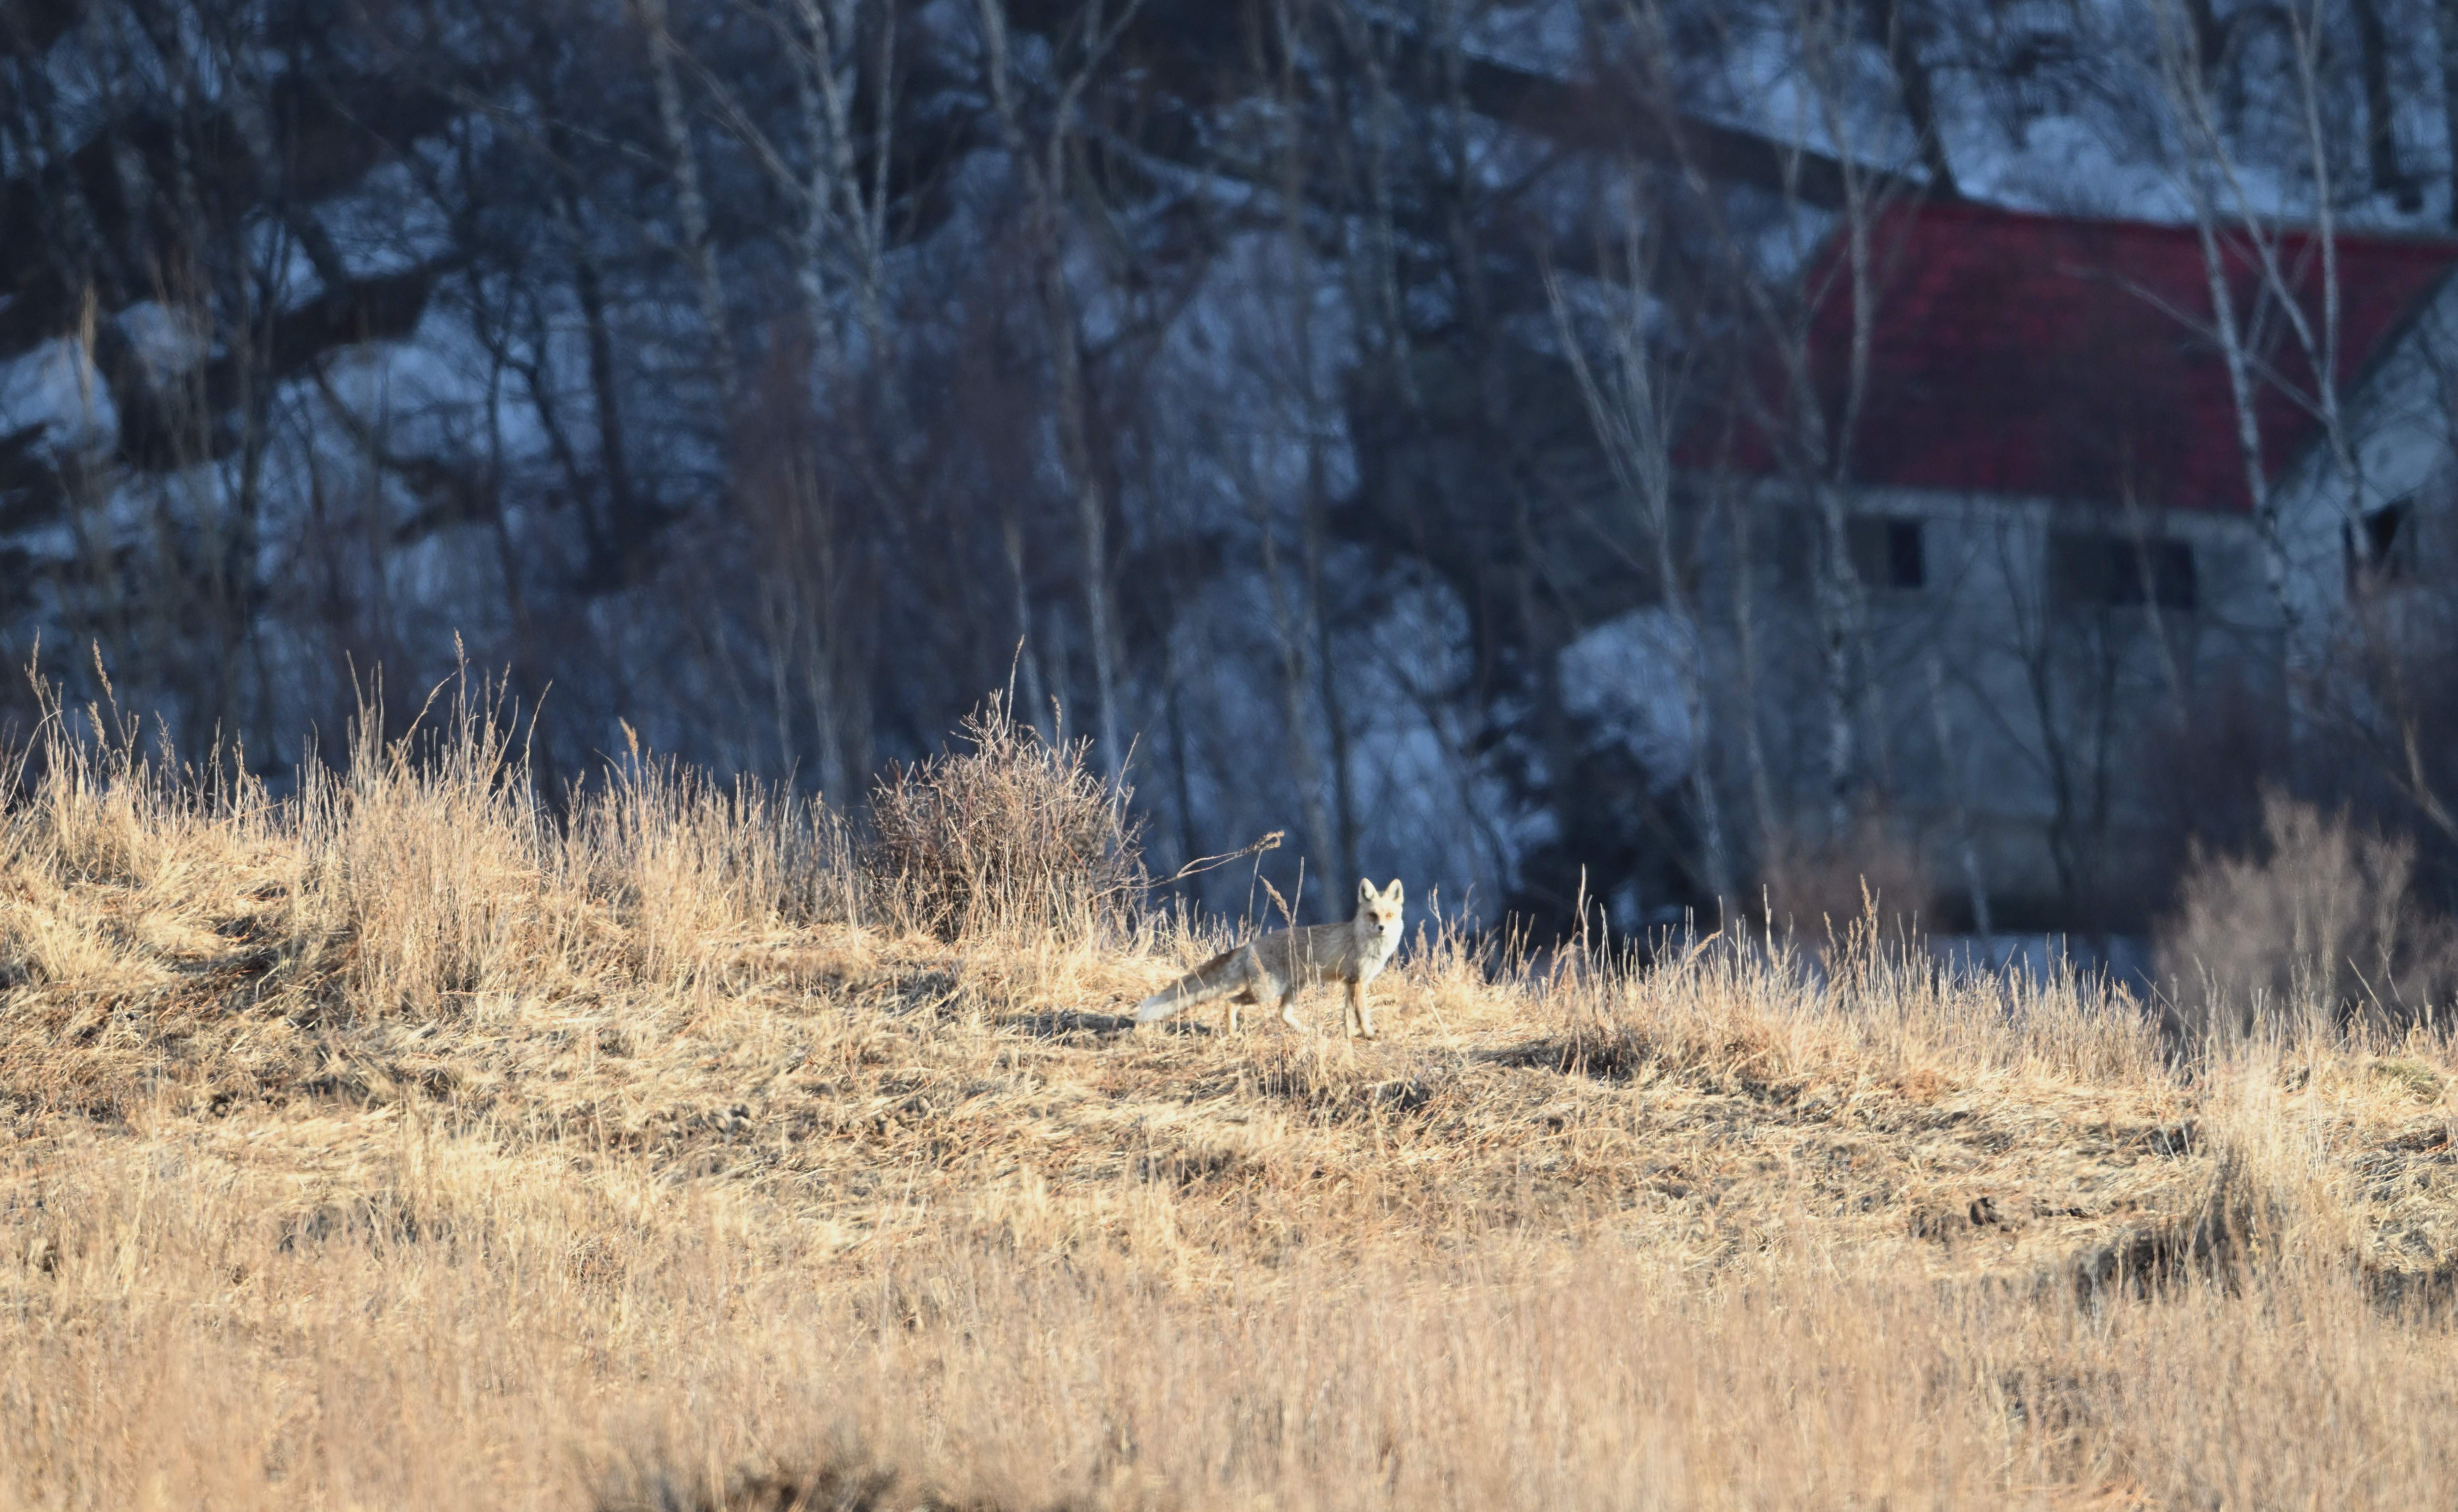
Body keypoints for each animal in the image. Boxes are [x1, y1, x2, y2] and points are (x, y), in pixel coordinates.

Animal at [1135, 878, 1406, 1038]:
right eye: (1373, 915)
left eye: (1389, 915)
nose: (1382, 928)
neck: (1367, 943)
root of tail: (1249, 946)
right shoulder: (1357, 982)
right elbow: (1362, 1015)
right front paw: (1371, 1035)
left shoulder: (1351, 983)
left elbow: (1348, 1016)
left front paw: (1350, 1037)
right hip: (1267, 991)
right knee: (1231, 1002)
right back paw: (1233, 1034)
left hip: (1293, 987)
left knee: (1282, 1015)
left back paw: (1308, 1032)